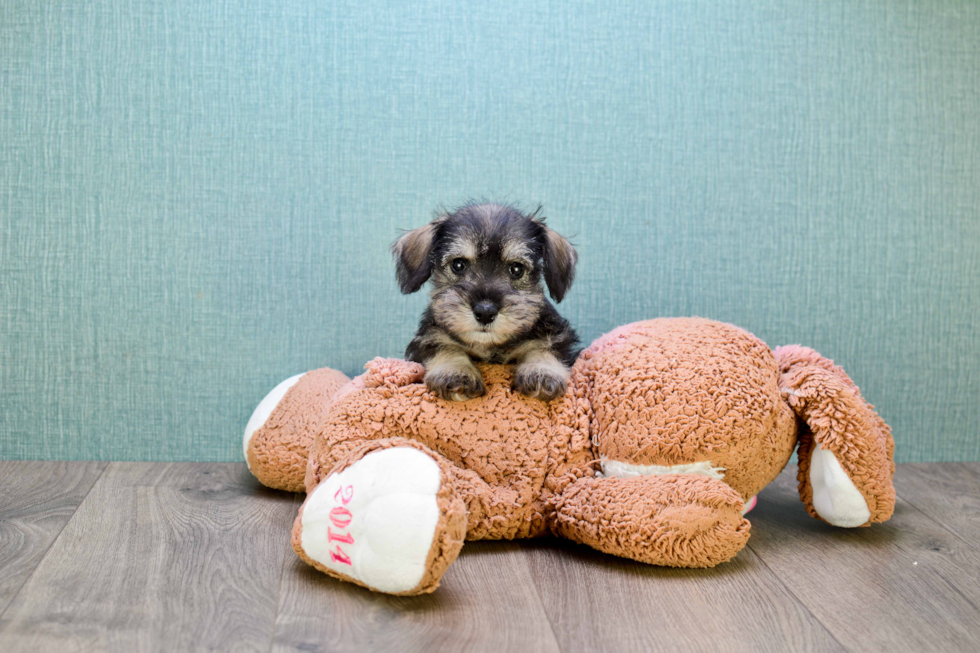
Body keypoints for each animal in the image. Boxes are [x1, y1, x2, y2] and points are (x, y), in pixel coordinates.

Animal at [392, 202, 580, 402]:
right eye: (458, 264)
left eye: (517, 269)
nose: (485, 312)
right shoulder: (429, 336)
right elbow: (445, 346)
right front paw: (456, 373)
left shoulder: (556, 335)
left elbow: (543, 348)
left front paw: (541, 373)